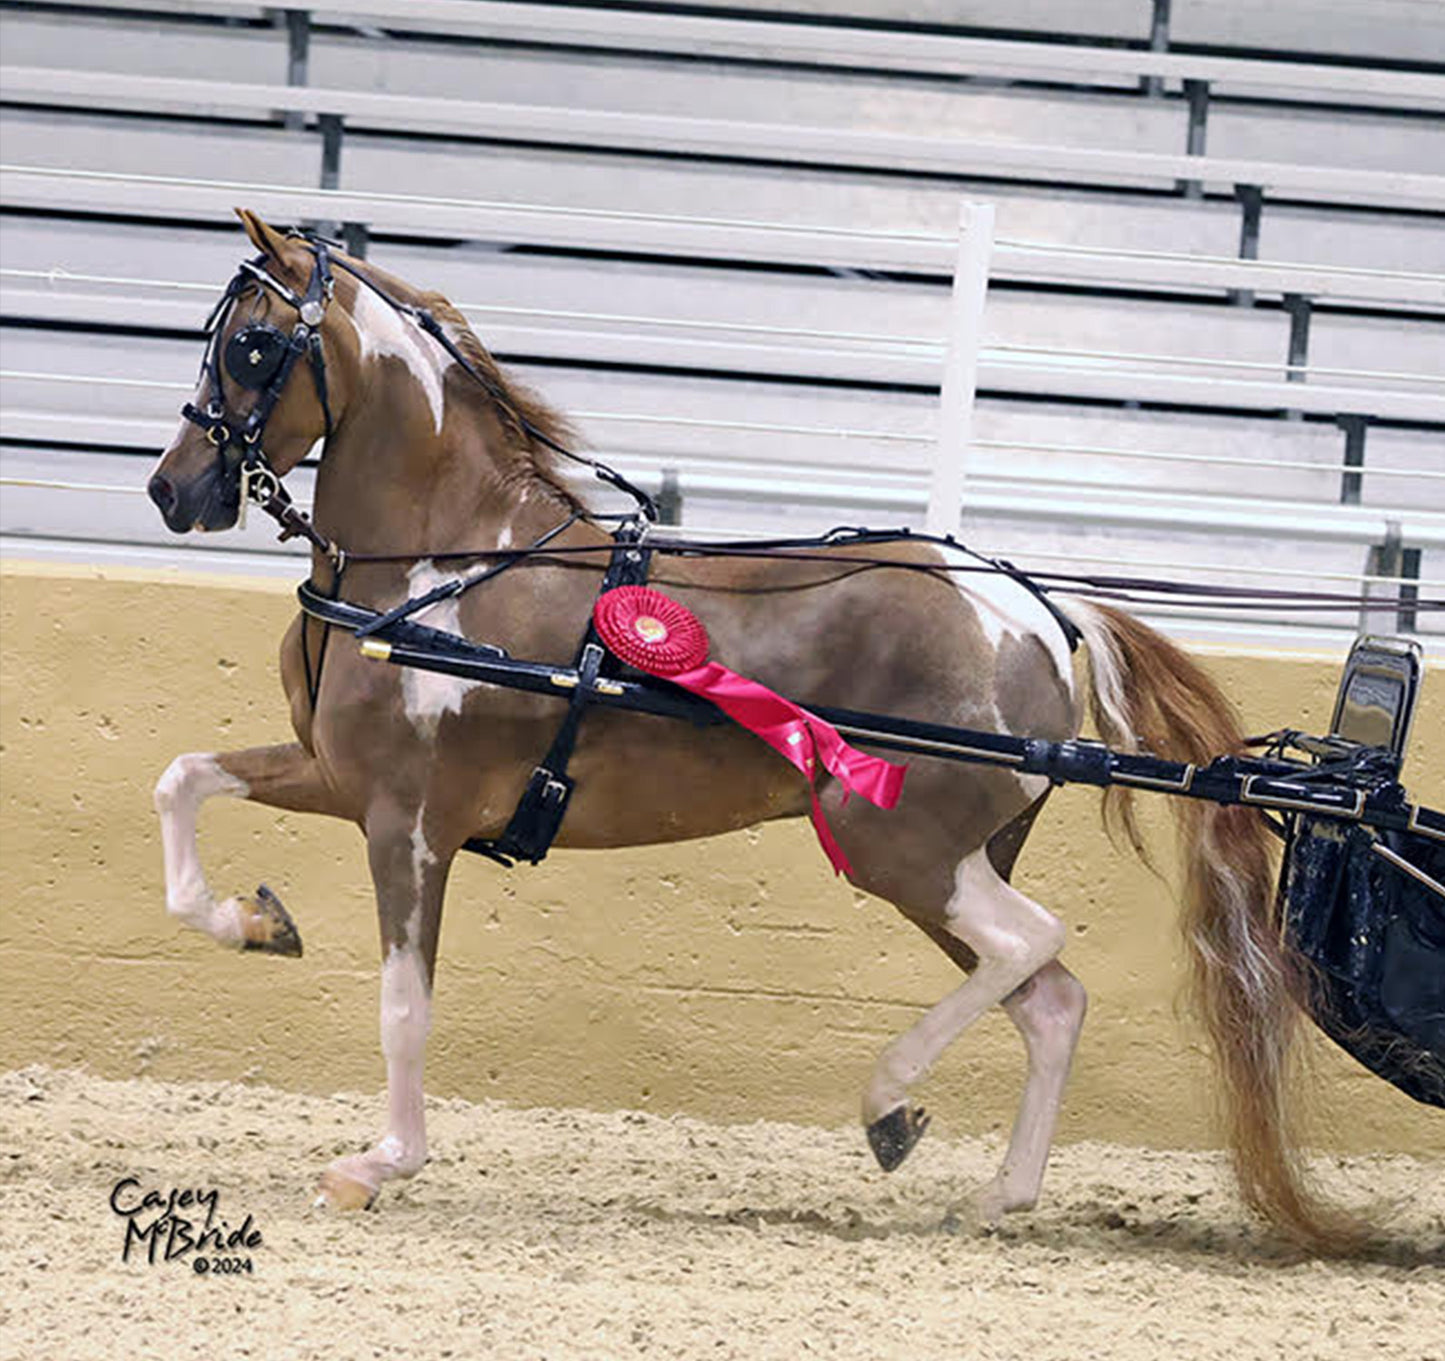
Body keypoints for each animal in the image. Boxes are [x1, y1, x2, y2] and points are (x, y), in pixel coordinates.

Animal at [146, 210, 1352, 1259]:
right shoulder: (336, 776)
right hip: (949, 861)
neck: (447, 569)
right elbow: (181, 779)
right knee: (1048, 998)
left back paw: (888, 1104)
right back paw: (992, 1193)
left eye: (252, 345)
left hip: (900, 847)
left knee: (1031, 948)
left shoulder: (408, 821)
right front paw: (252, 921)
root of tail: (1036, 609)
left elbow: (404, 1002)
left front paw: (379, 1162)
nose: (173, 490)